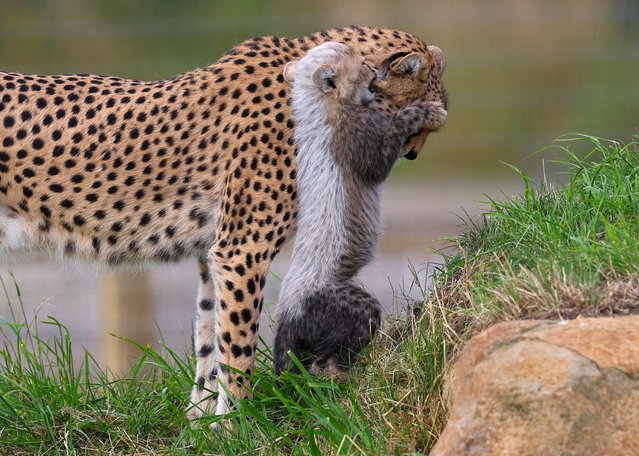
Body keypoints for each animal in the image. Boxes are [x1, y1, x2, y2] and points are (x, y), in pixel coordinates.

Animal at [0, 26, 450, 422]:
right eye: (429, 120)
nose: (412, 153)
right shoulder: (242, 251)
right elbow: (237, 349)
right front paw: (237, 425)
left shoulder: (213, 253)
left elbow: (209, 338)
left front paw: (200, 424)